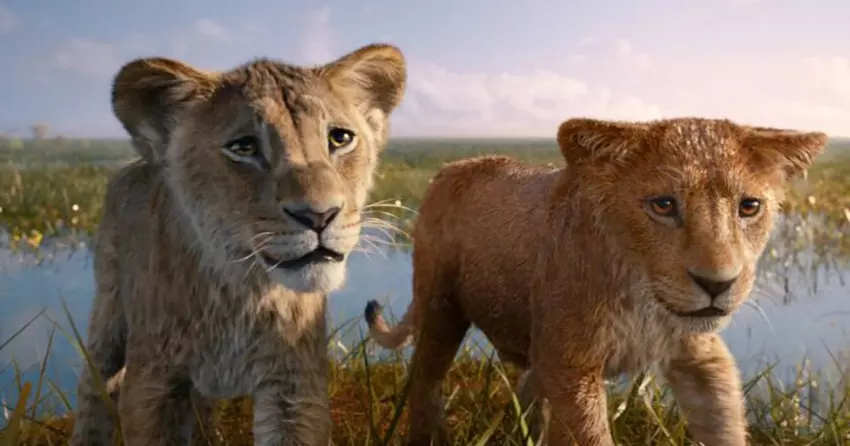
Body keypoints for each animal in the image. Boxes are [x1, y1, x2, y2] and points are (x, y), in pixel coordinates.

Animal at [69, 43, 407, 446]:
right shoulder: (153, 385)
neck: (242, 292)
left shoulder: (295, 389)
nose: (320, 216)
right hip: (108, 316)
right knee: (94, 389)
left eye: (340, 138)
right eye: (244, 147)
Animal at [365, 117, 827, 445]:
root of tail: (452, 167)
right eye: (663, 205)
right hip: (441, 308)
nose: (717, 284)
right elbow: (589, 435)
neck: (642, 296)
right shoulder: (574, 365)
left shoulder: (700, 356)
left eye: (749, 207)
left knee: (529, 393)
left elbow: (725, 423)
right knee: (425, 382)